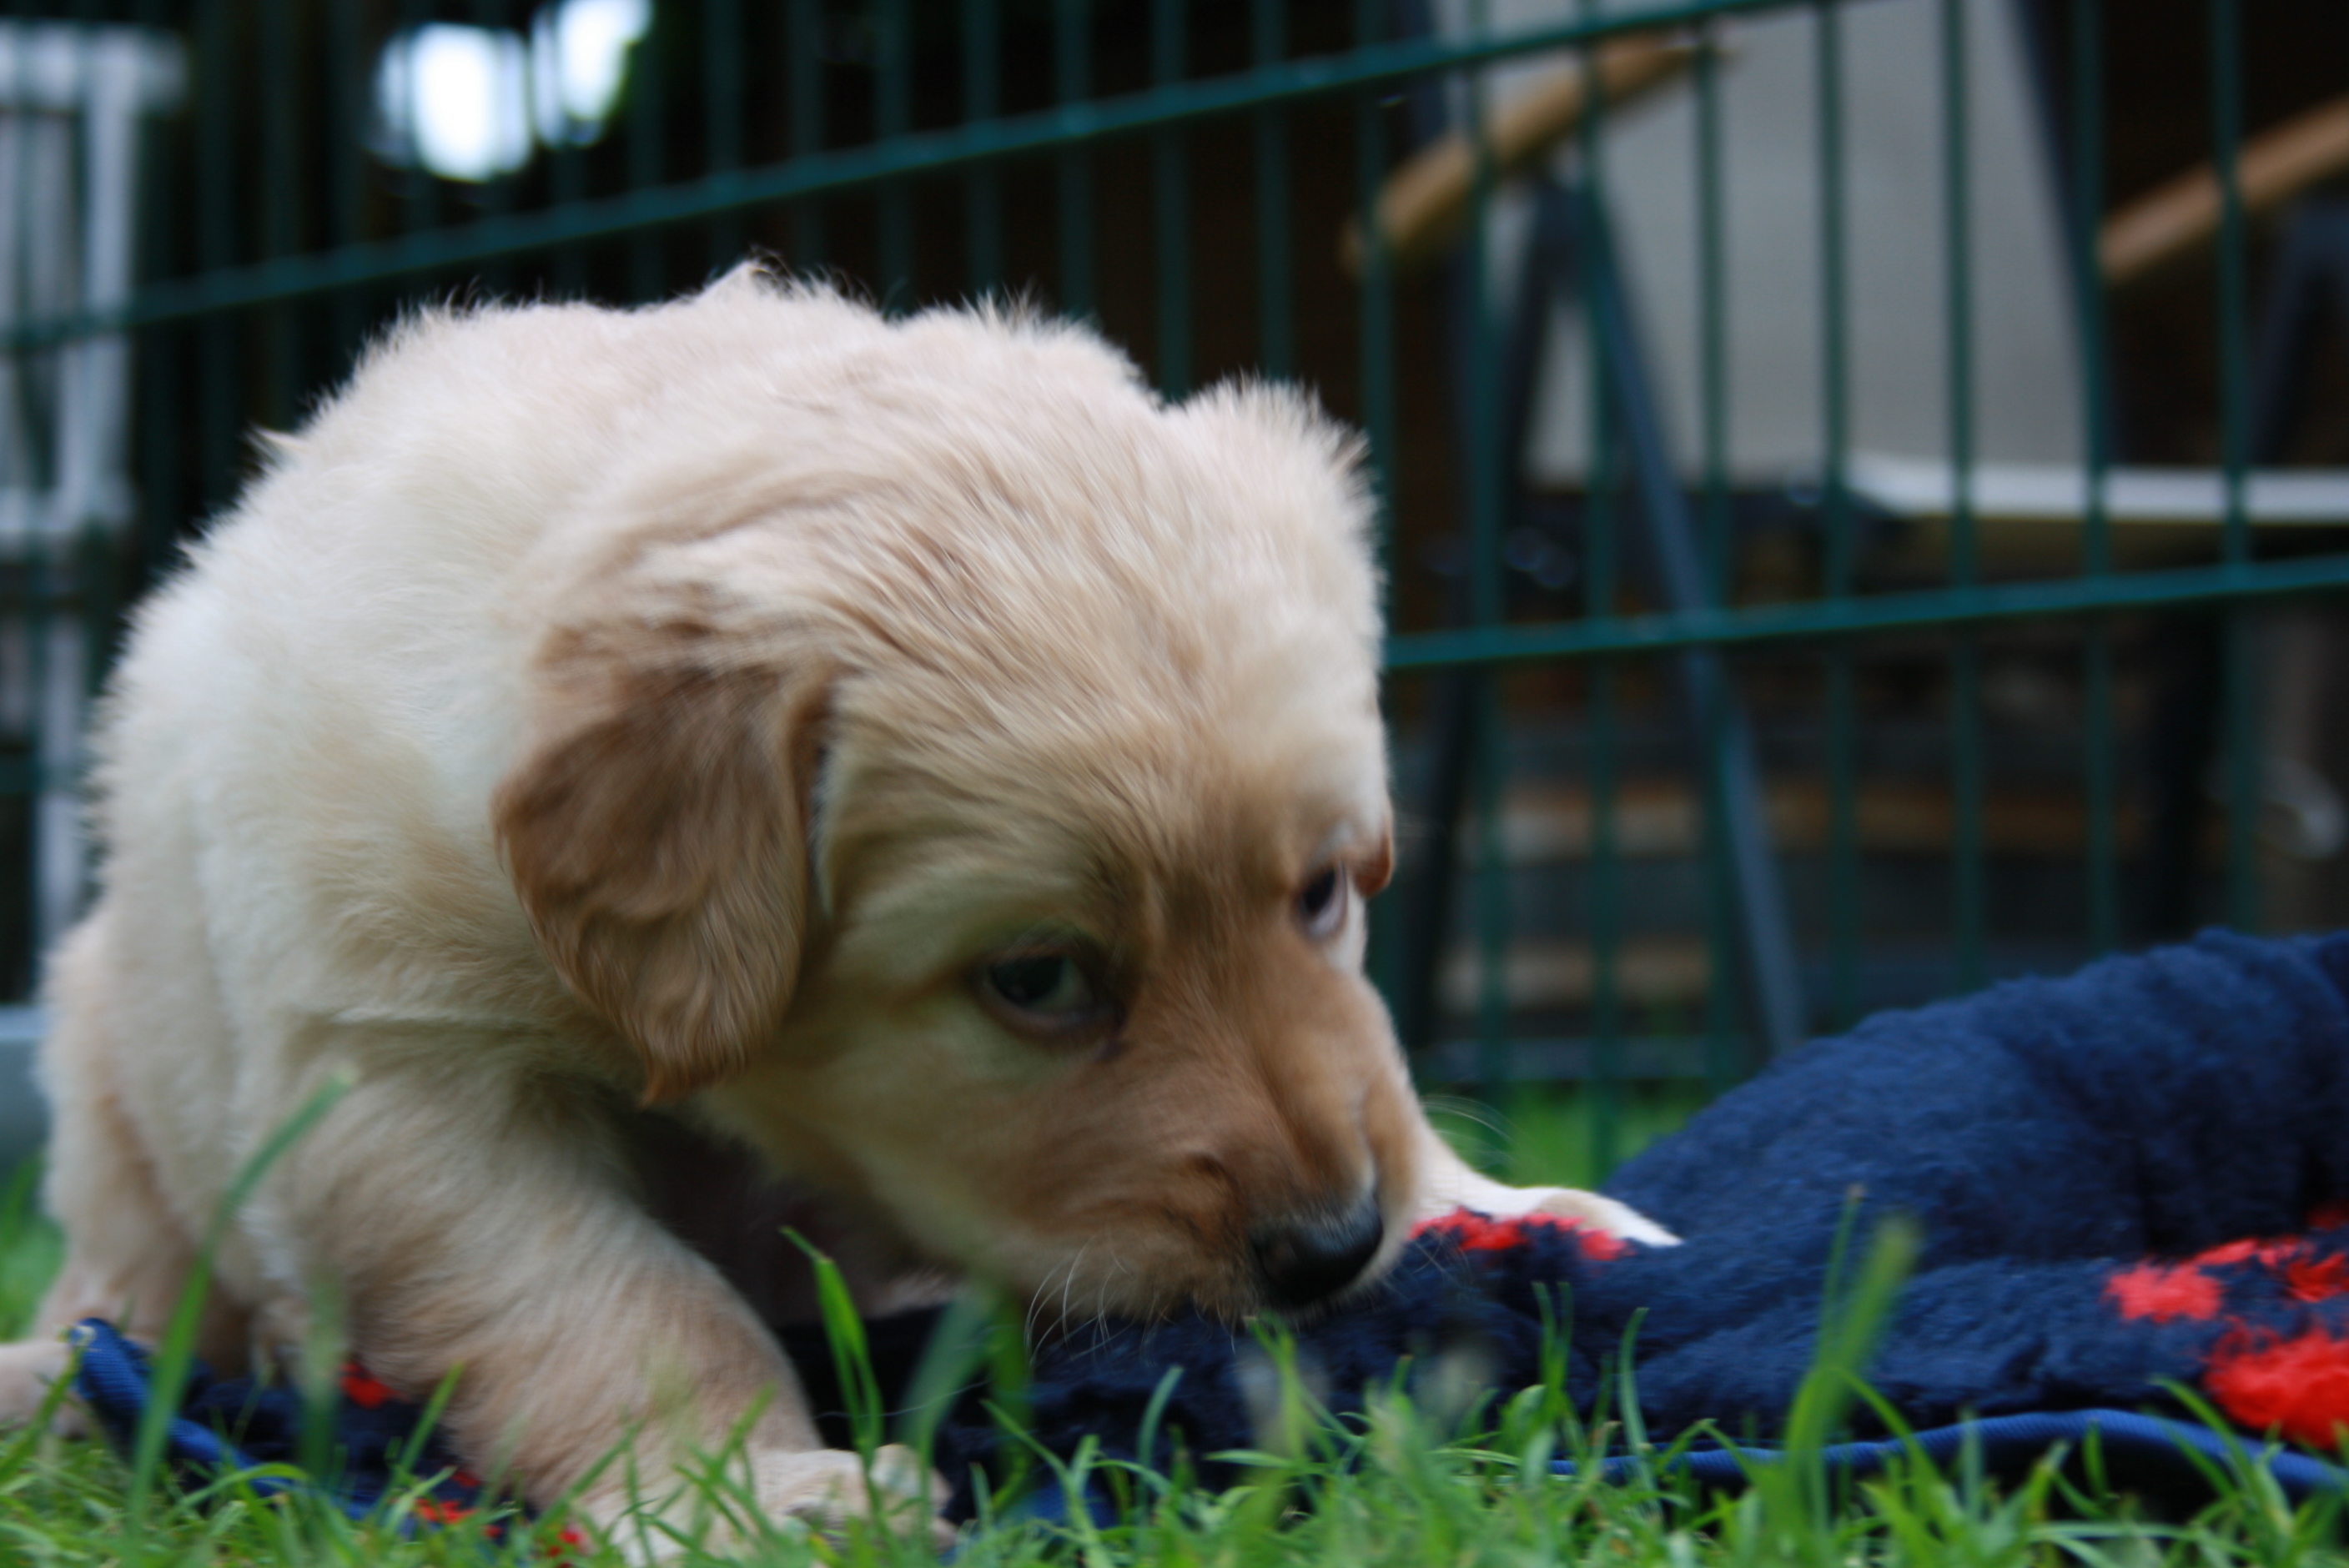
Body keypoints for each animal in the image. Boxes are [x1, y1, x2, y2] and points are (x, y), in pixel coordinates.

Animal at [0, 270, 1672, 1541]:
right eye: (1038, 978)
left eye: (1323, 892)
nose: (1333, 1251)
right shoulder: (397, 1084)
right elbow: (616, 1297)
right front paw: (743, 1491)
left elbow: (1381, 1078)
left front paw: (1524, 1211)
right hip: (118, 1112)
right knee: (139, 1303)